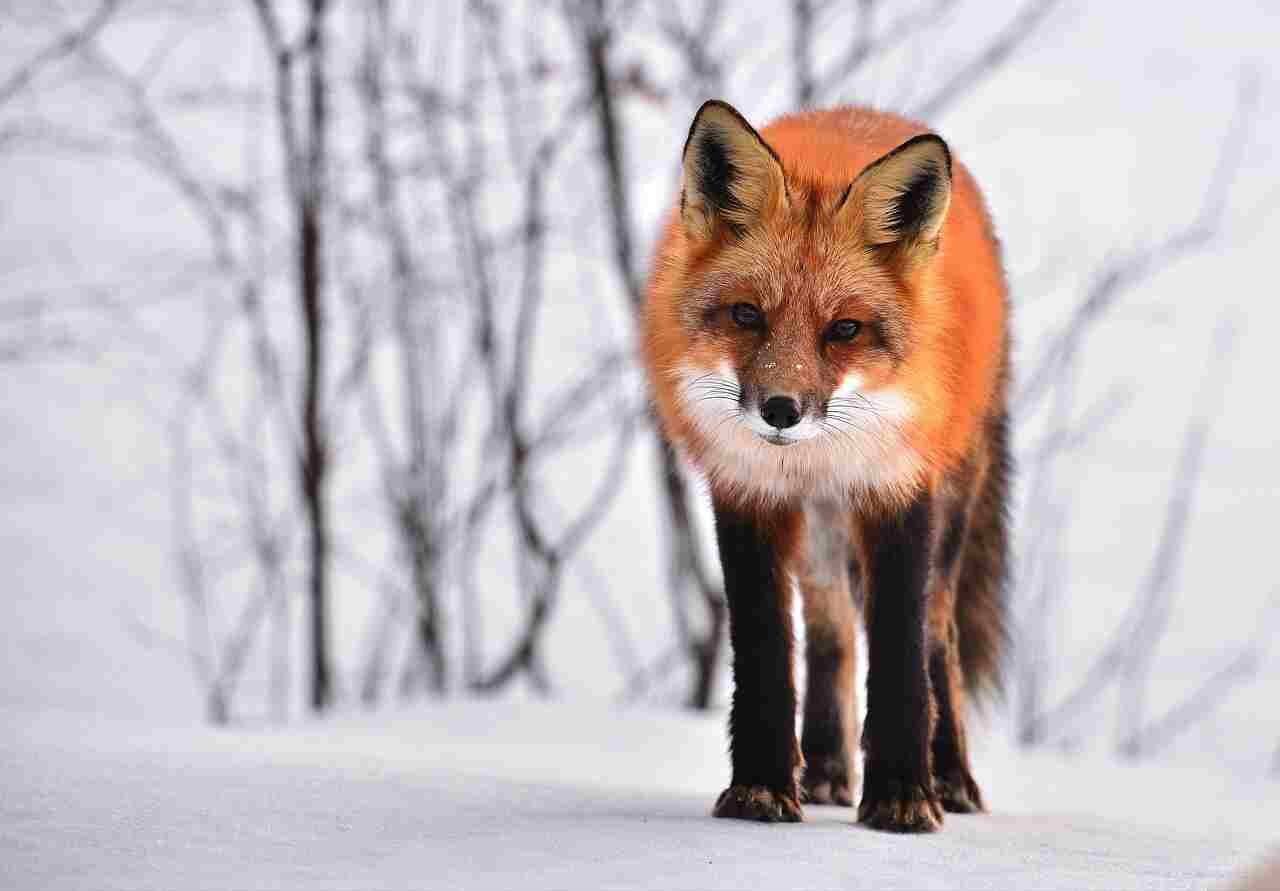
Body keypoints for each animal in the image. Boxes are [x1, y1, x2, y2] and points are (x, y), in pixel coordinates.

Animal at [641, 100, 1010, 833]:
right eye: (747, 314)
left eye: (844, 329)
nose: (781, 410)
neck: (816, 455)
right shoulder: (748, 491)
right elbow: (765, 651)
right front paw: (759, 788)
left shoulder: (897, 488)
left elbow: (901, 654)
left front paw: (902, 796)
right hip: (817, 534)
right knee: (830, 630)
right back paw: (826, 769)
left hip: (950, 504)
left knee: (938, 636)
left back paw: (952, 777)